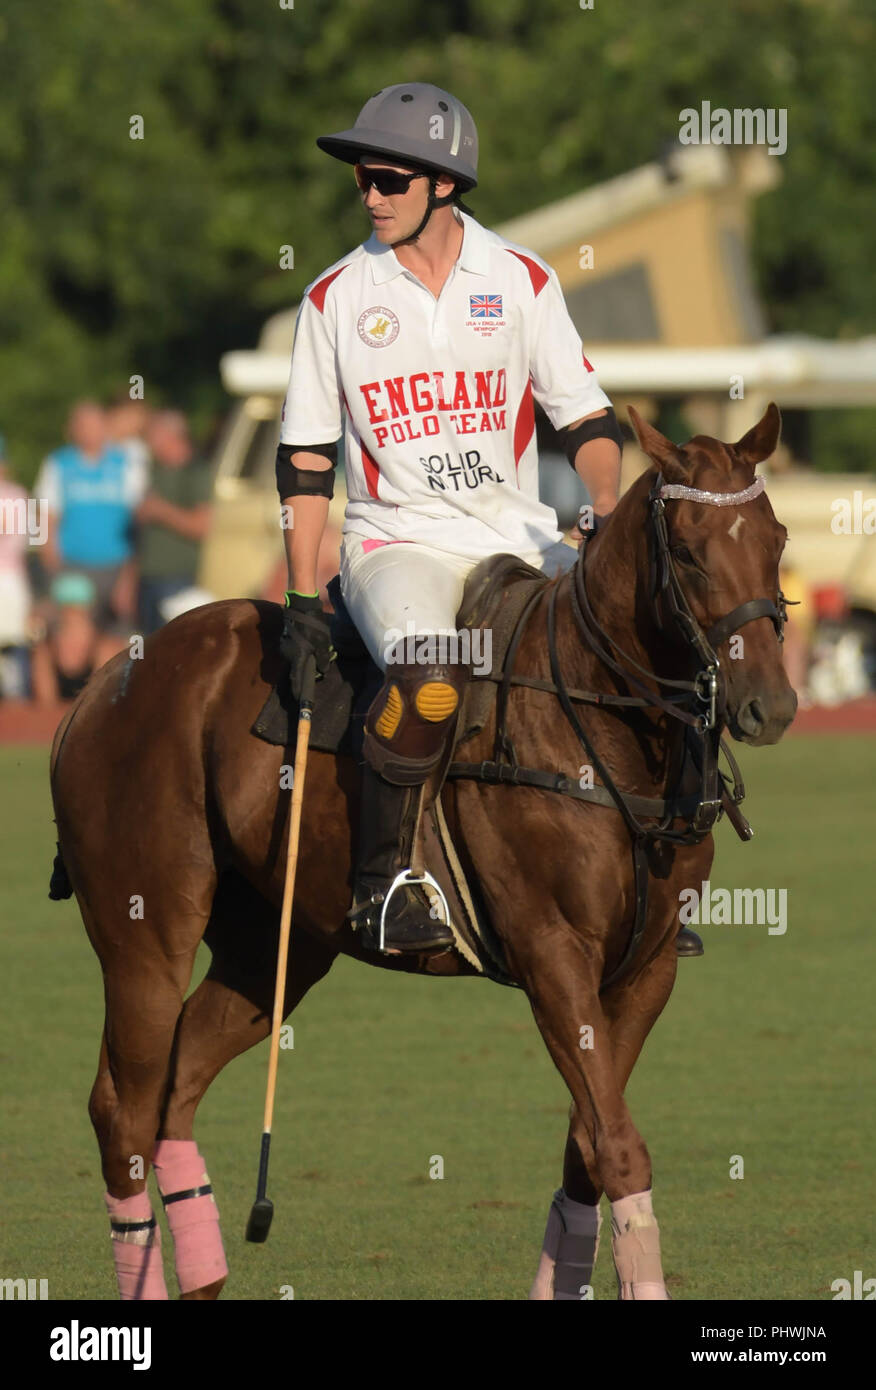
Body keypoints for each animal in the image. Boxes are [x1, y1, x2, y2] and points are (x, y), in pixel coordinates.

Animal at [51, 405, 800, 1295]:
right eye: (685, 550)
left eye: (778, 537)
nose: (771, 706)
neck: (612, 731)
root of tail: (99, 682)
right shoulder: (552, 952)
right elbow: (616, 1145)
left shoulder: (645, 968)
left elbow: (587, 1143)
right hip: (144, 929)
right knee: (121, 1107)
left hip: (273, 945)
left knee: (177, 1086)